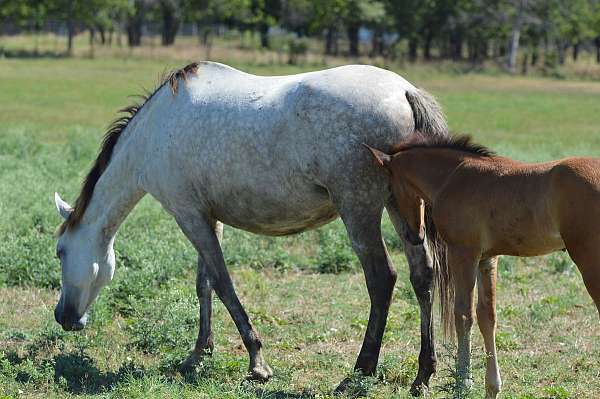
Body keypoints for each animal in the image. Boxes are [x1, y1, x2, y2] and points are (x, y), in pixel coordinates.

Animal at [54, 61, 448, 394]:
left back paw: (358, 373)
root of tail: (404, 91)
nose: (63, 317)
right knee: (422, 275)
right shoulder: (207, 217)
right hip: (401, 208)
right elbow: (205, 284)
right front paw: (199, 354)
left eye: (59, 253)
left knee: (381, 279)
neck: (156, 133)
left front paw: (257, 364)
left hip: (359, 208)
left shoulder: (188, 215)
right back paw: (422, 376)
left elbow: (224, 285)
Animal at [366, 135, 600, 399]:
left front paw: (462, 383)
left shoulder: (463, 253)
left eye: (390, 192)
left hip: (589, 260)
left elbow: (463, 314)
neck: (451, 178)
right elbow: (487, 316)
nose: (415, 235)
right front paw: (492, 387)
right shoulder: (487, 259)